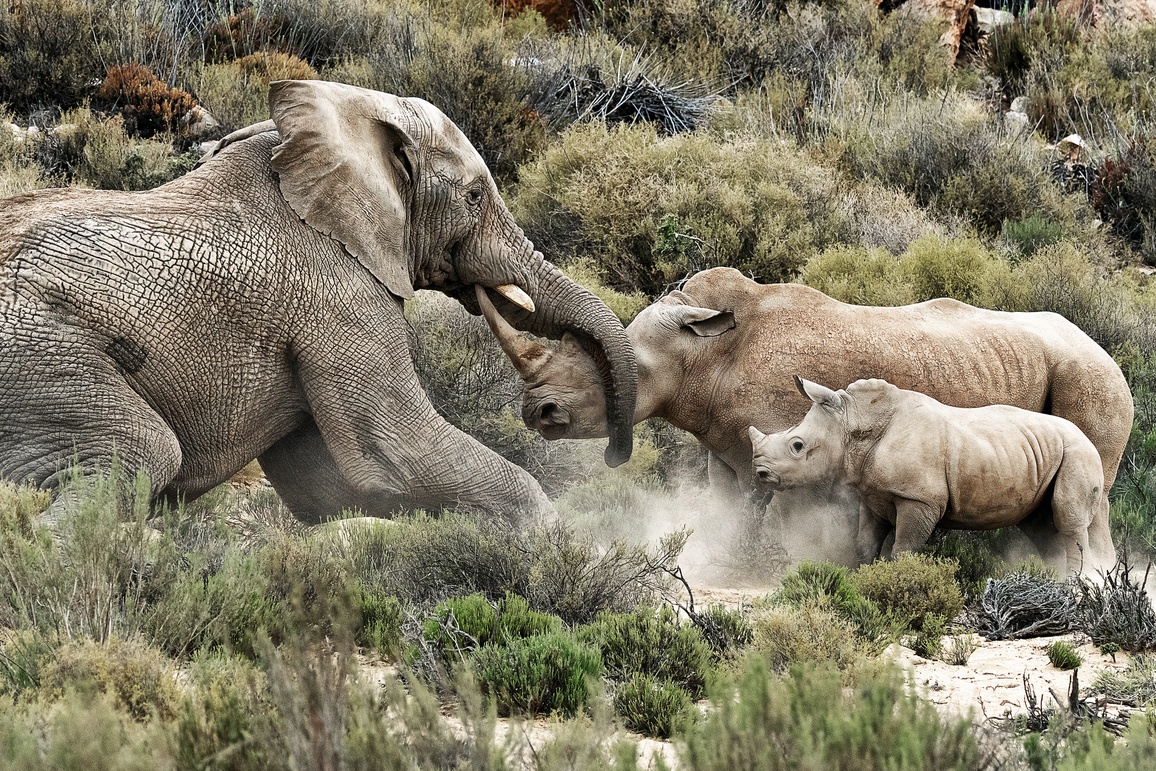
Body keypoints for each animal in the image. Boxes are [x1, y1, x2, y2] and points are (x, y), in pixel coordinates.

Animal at [0, 80, 637, 524]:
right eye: (476, 197)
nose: (612, 457)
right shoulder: (340, 297)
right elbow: (397, 455)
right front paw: (553, 547)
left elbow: (329, 487)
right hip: (37, 355)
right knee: (140, 452)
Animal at [748, 376, 1109, 575]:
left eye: (797, 445)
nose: (760, 473)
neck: (855, 423)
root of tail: (1089, 439)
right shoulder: (872, 496)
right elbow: (864, 544)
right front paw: (862, 579)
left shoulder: (919, 498)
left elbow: (904, 548)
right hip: (1048, 453)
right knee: (1042, 527)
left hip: (1079, 453)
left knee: (1068, 521)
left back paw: (1074, 588)